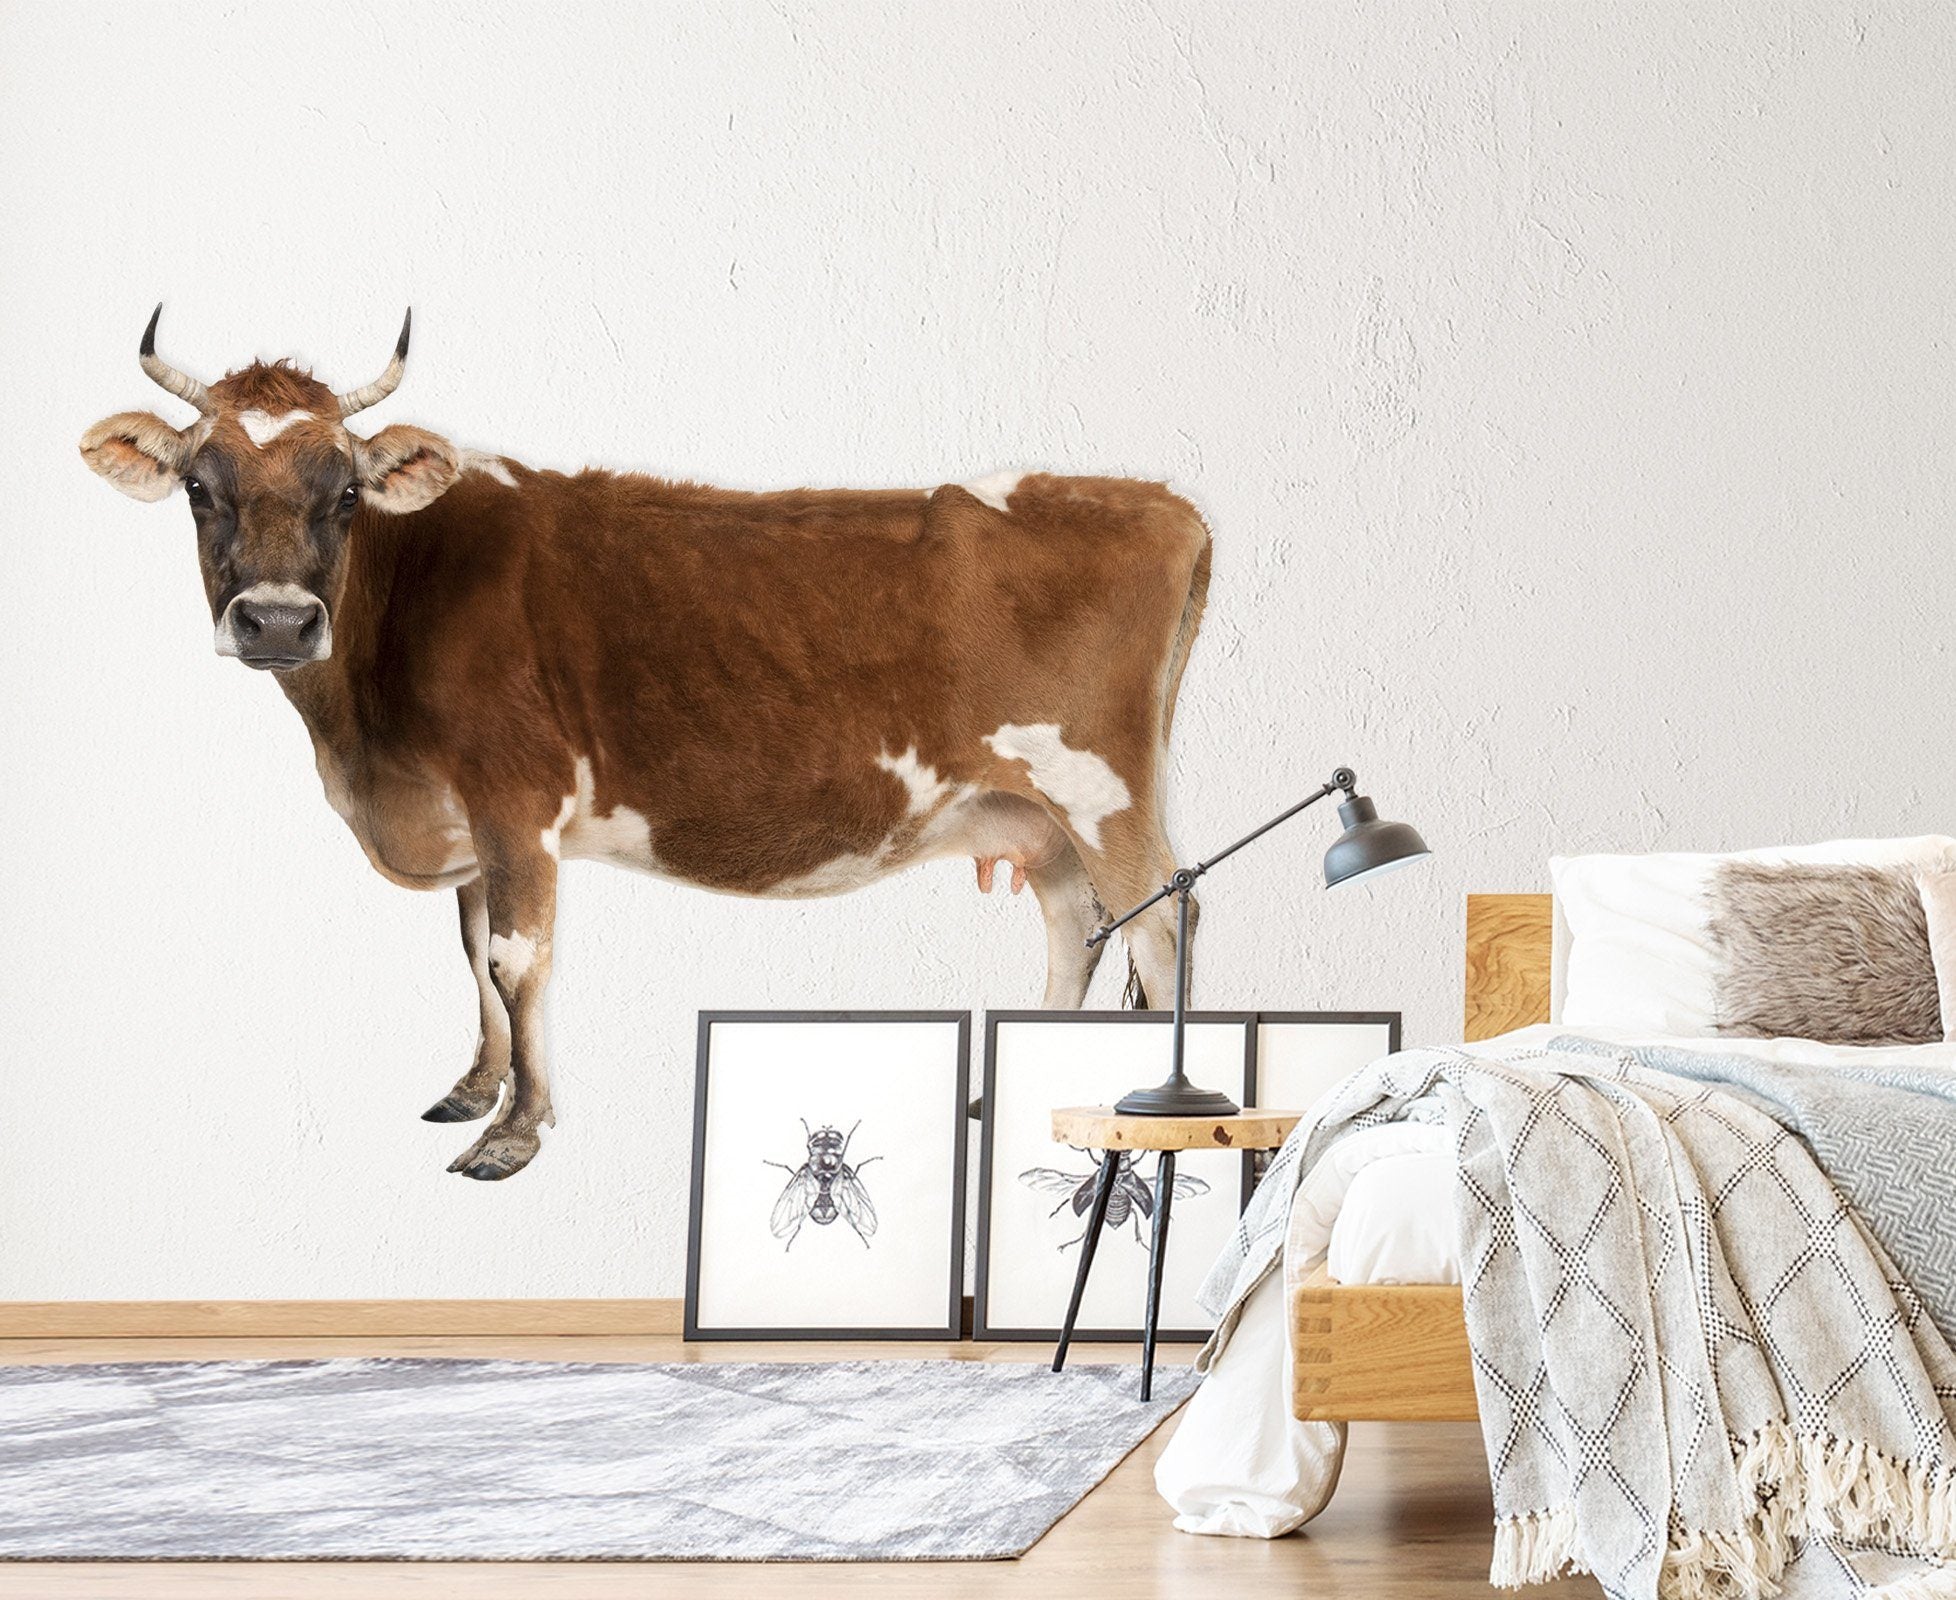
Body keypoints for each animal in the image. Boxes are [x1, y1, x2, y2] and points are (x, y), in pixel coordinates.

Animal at [80, 309, 1213, 1180]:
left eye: (346, 491)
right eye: (200, 488)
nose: (277, 621)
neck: (363, 744)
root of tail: (1162, 501)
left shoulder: (516, 798)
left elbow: (516, 958)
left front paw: (516, 1133)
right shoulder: (466, 817)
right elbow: (472, 952)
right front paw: (476, 1088)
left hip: (1103, 792)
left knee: (1164, 922)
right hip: (1036, 816)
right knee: (1077, 928)